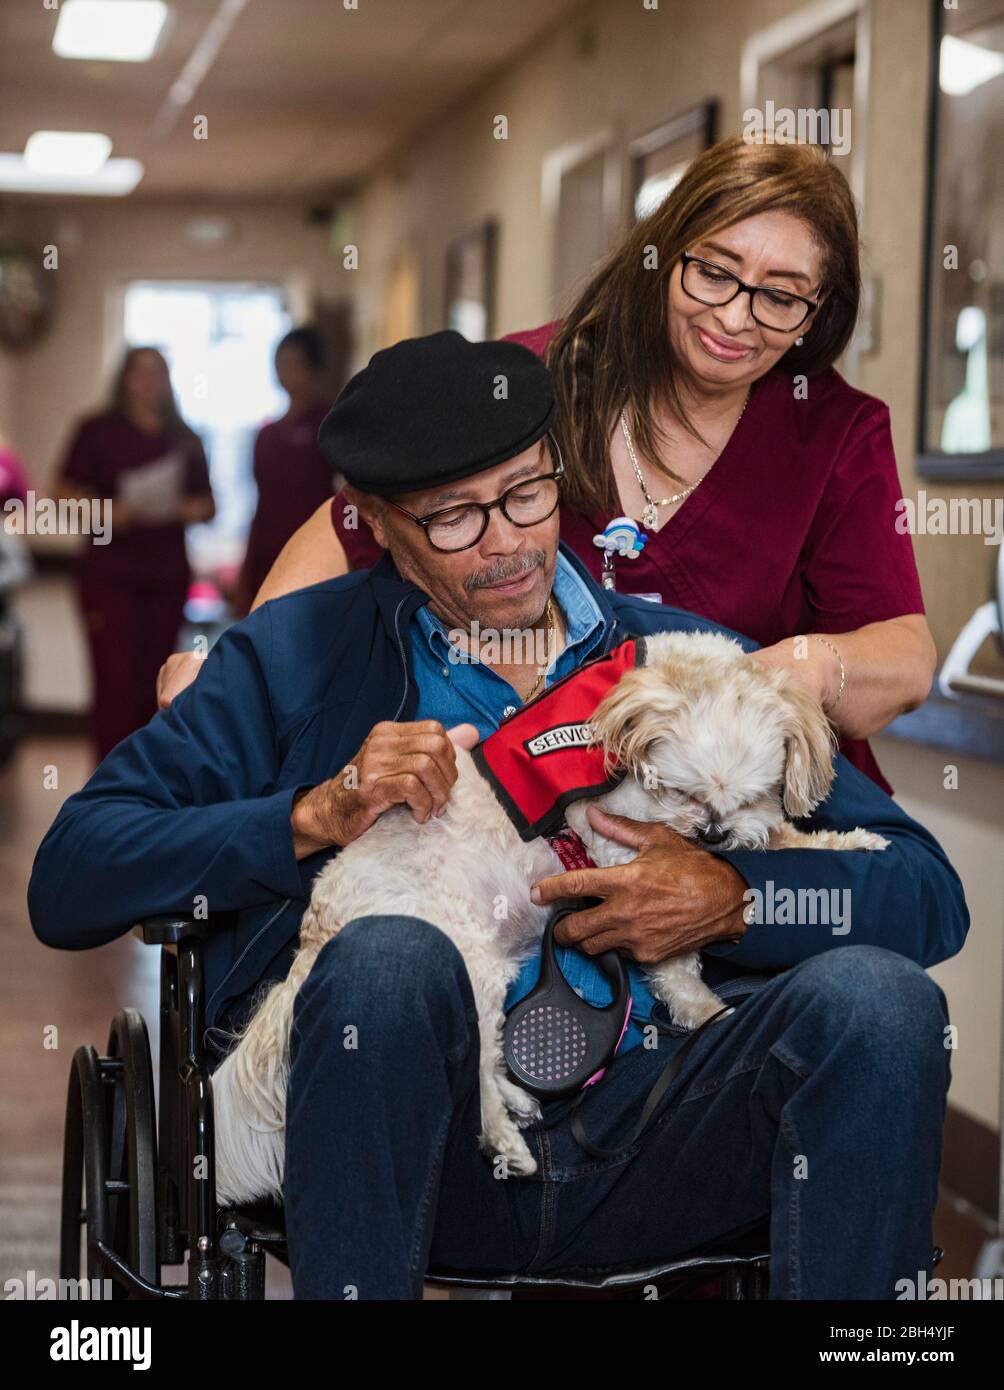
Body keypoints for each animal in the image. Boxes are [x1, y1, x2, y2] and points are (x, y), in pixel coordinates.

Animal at [211, 633, 884, 1206]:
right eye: (680, 793)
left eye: (751, 795)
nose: (714, 833)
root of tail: (318, 924)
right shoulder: (617, 849)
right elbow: (673, 955)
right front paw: (698, 1005)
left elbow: (785, 839)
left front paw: (849, 843)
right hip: (462, 954)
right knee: (479, 1063)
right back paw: (504, 1138)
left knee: (487, 1052)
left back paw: (516, 1099)